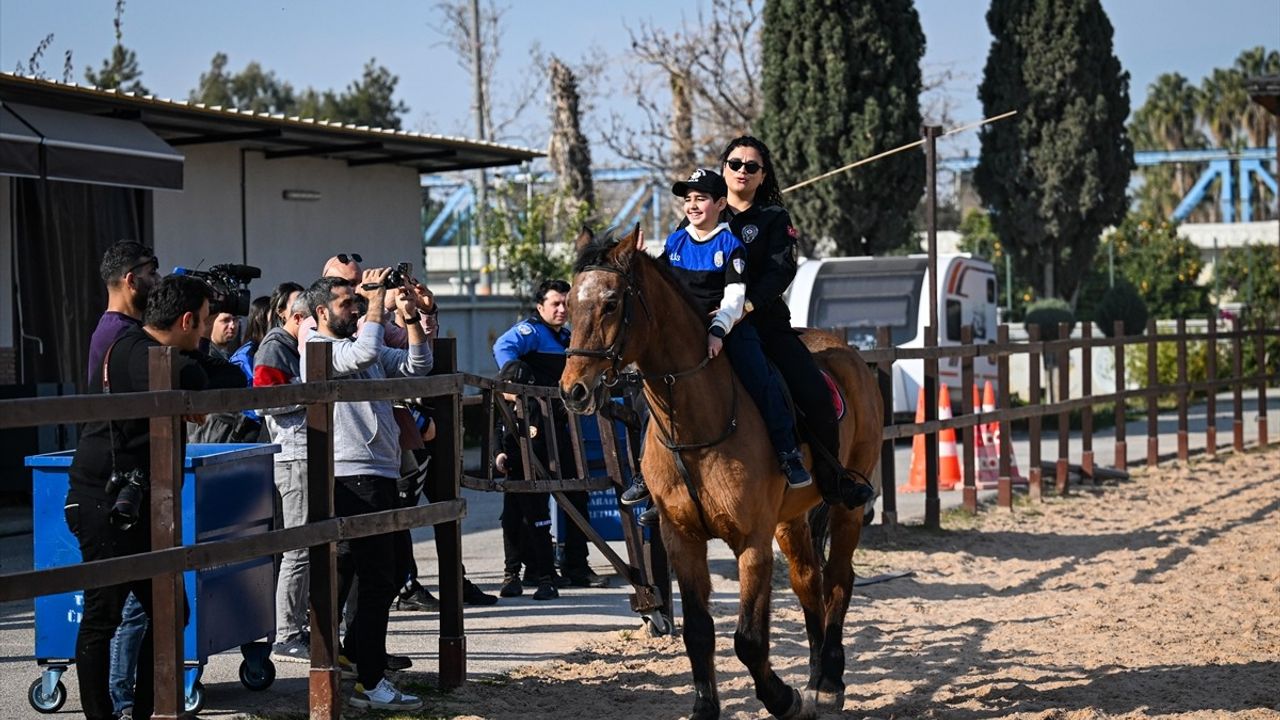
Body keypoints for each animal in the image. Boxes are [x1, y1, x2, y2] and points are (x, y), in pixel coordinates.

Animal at [565, 226, 885, 712]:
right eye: (568, 303)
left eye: (611, 303)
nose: (573, 390)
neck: (698, 422)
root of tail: (850, 353)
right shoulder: (682, 540)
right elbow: (699, 633)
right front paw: (705, 707)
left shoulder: (751, 541)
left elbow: (748, 639)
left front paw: (782, 699)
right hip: (791, 521)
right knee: (808, 580)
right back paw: (815, 675)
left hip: (845, 507)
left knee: (837, 581)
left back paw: (829, 681)